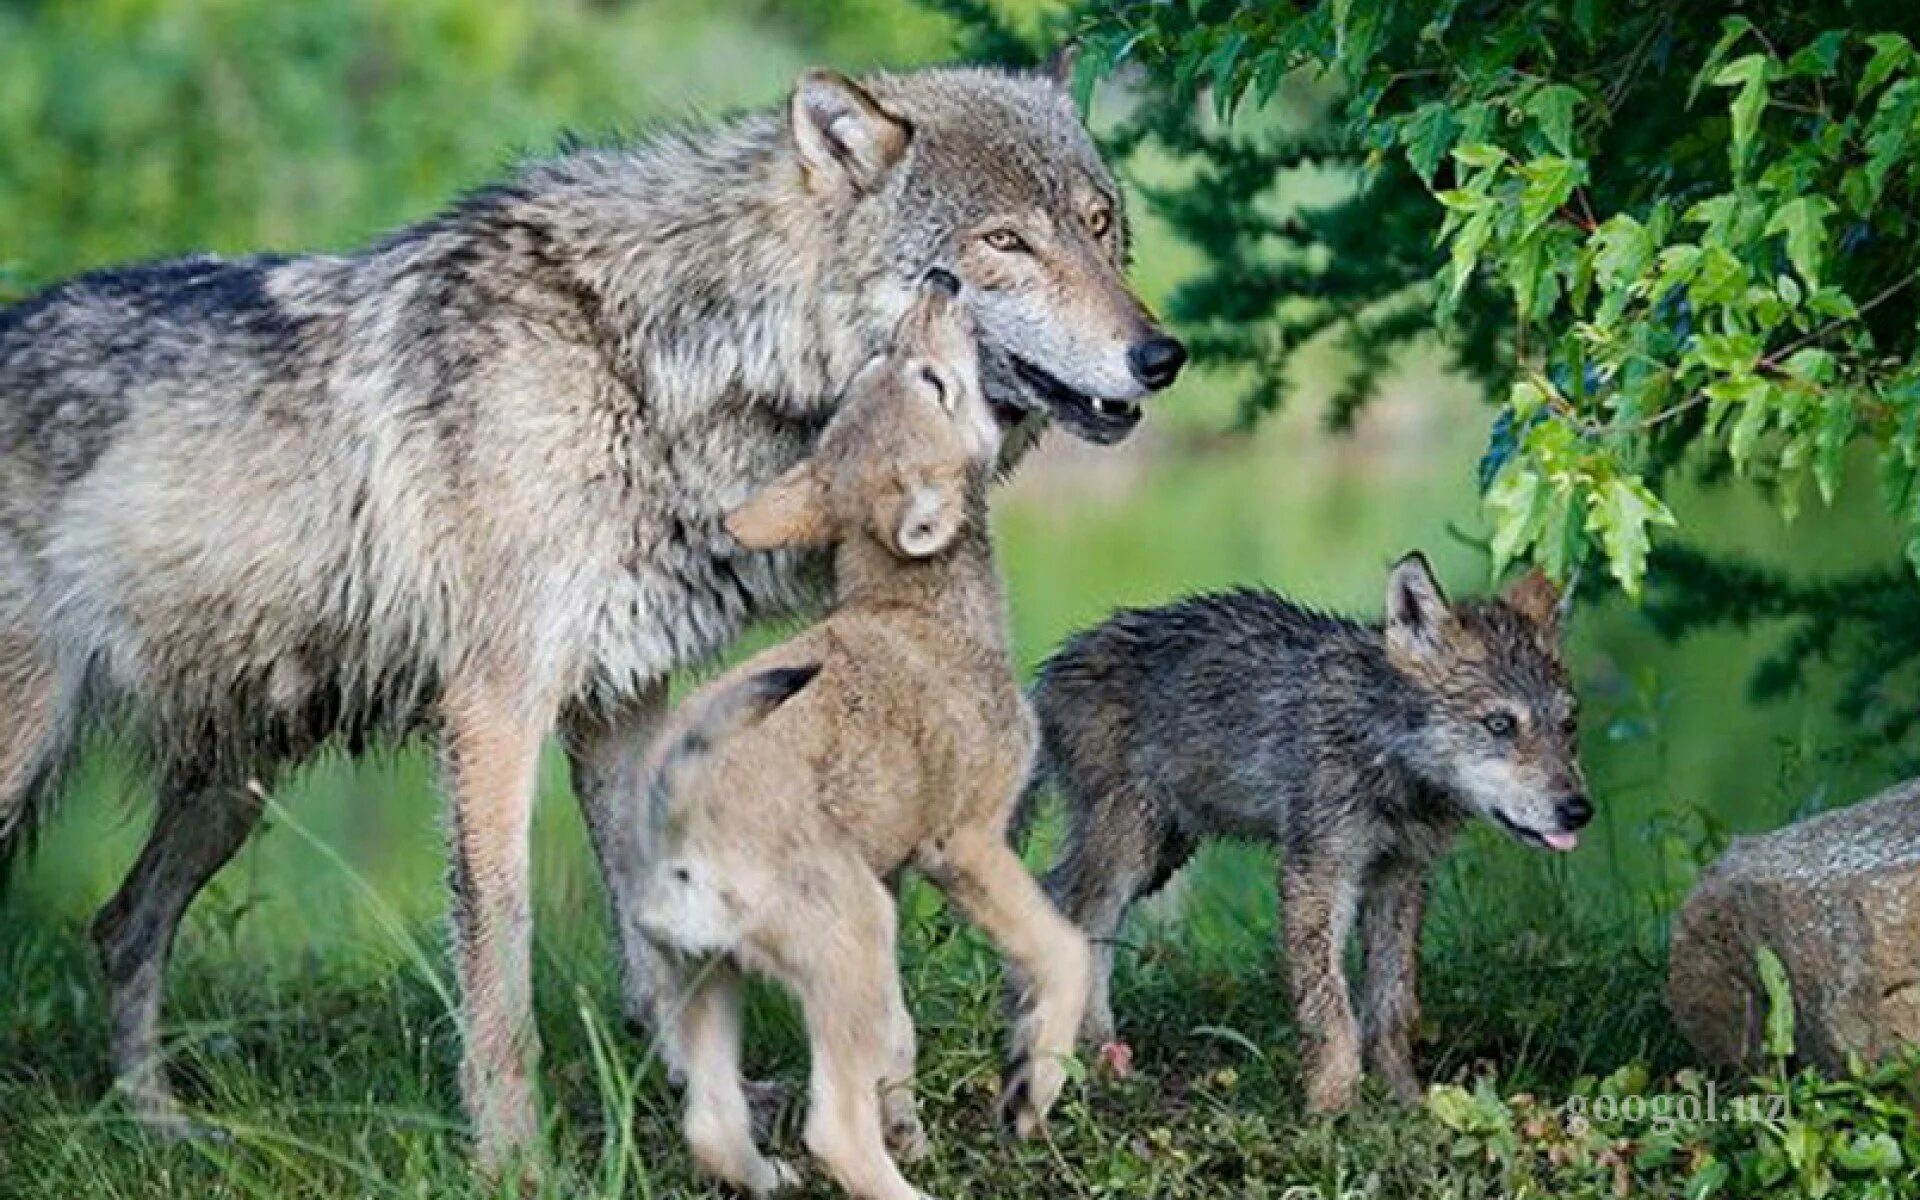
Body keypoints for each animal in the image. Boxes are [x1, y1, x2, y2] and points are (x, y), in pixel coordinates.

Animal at [629, 274, 1082, 1198]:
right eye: (931, 382)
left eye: (887, 369)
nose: (941, 283)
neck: (916, 611)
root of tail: (680, 809)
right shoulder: (966, 846)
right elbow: (1065, 952)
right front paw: (1033, 1088)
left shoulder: (898, 872)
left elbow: (900, 1034)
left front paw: (912, 1126)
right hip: (849, 939)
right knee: (831, 1129)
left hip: (712, 981)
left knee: (714, 1128)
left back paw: (776, 1177)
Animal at [1021, 556, 1589, 1105]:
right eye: (1500, 725)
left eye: (1568, 726)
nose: (1578, 810)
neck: (1381, 749)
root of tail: (1053, 666)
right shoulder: (1317, 873)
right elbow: (1329, 1010)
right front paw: (1332, 1108)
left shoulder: (1400, 875)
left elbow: (1392, 1005)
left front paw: (1404, 1101)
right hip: (1130, 849)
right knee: (1076, 914)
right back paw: (1091, 1061)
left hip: (1163, 855)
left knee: (1065, 903)